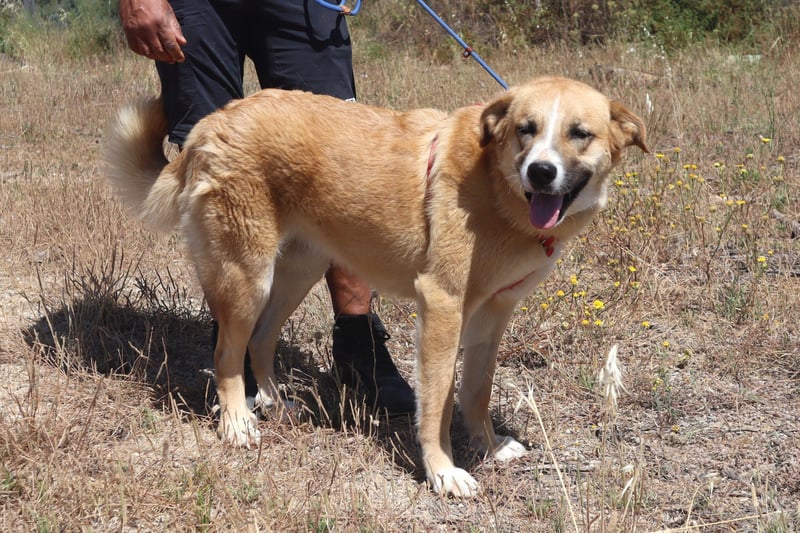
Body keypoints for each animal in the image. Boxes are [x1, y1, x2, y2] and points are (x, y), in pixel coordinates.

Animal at [104, 76, 647, 497]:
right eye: (525, 130)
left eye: (580, 134)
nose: (540, 171)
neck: (499, 188)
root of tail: (211, 122)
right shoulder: (442, 306)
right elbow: (438, 404)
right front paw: (444, 472)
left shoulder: (493, 316)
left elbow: (476, 392)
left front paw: (490, 446)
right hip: (247, 277)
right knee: (226, 353)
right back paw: (237, 422)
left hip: (297, 273)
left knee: (259, 341)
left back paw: (274, 404)